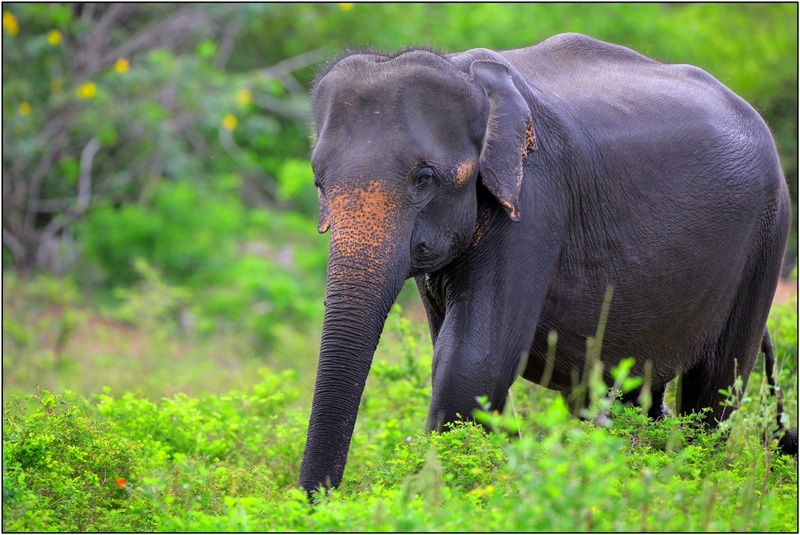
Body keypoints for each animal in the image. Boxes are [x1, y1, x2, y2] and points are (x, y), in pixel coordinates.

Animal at [298, 33, 792, 498]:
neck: (465, 73)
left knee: (716, 387)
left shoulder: (536, 199)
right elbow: (459, 356)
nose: (317, 502)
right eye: (319, 183)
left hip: (766, 237)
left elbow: (474, 360)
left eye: (424, 179)